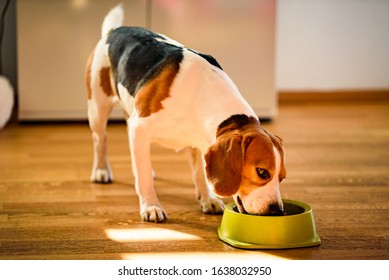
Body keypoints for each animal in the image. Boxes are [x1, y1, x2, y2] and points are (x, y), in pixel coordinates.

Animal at [85, 5, 284, 222]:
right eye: (262, 172)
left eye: (282, 178)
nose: (278, 211)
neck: (201, 92)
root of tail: (114, 31)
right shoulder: (141, 126)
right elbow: (143, 177)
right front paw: (151, 206)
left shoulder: (199, 142)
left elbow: (199, 173)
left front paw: (207, 199)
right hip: (98, 109)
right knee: (100, 141)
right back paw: (101, 170)